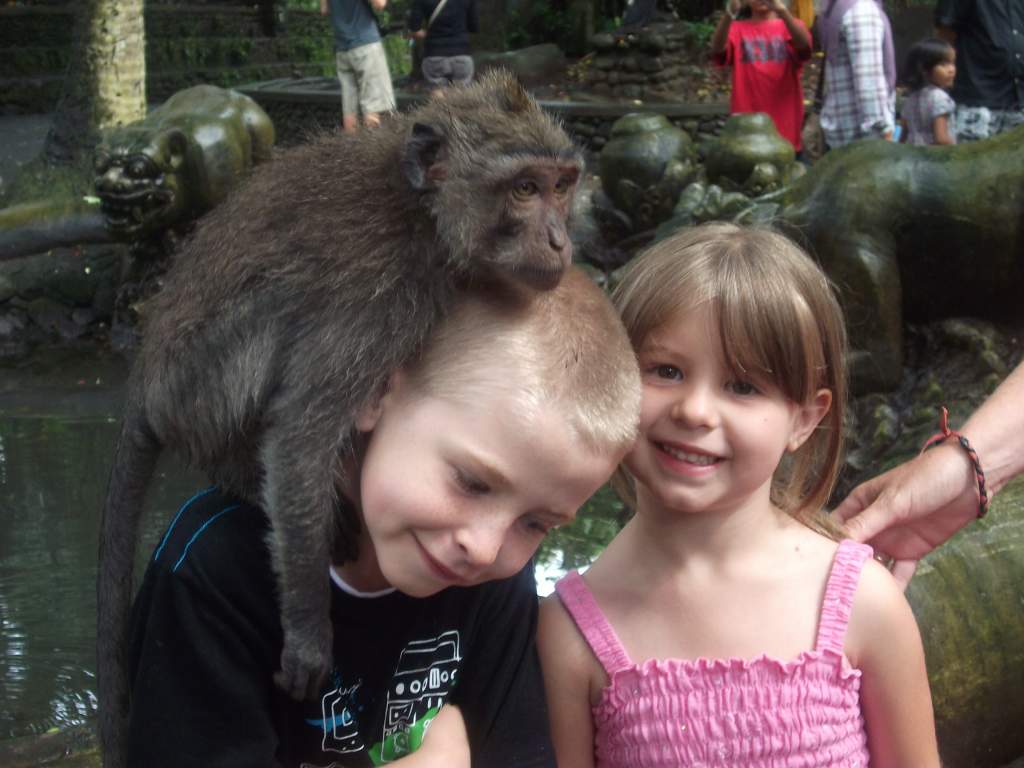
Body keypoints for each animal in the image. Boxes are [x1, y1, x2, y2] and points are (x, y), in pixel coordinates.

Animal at [96, 69, 585, 765]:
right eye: (524, 188)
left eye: (561, 186)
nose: (560, 239)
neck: (422, 216)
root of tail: (147, 377)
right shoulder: (377, 290)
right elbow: (303, 428)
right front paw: (307, 629)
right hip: (202, 378)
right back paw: (245, 479)